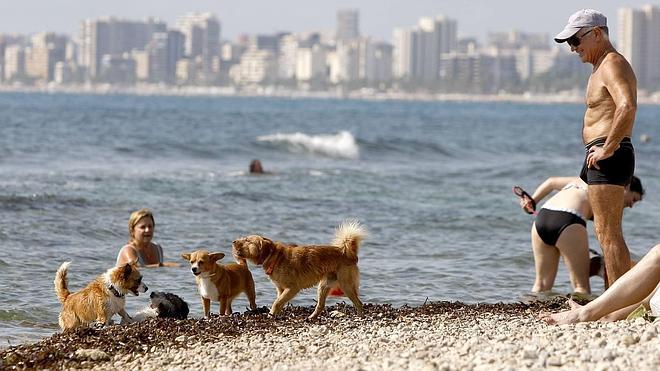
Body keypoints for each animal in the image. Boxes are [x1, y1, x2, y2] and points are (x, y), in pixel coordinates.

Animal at [232, 221, 366, 320]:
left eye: (247, 240)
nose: (233, 241)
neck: (273, 257)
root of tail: (349, 254)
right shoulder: (281, 290)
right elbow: (279, 302)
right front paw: (274, 315)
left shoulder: (292, 288)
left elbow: (277, 303)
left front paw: (271, 315)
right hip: (323, 285)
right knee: (320, 305)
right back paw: (311, 317)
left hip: (346, 285)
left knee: (359, 303)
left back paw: (360, 317)